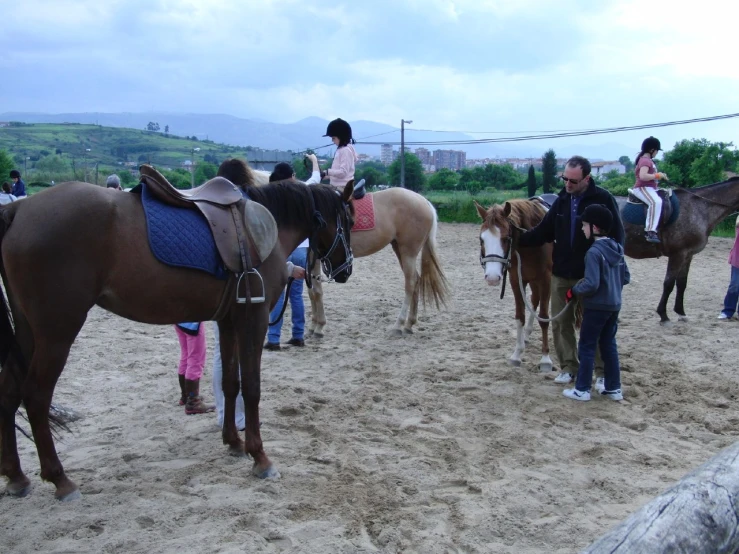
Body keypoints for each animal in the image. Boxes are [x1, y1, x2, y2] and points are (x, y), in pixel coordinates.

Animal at [304, 185, 448, 334]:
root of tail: (425, 202)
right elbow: (311, 291)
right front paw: (313, 324)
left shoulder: (315, 256)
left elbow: (317, 291)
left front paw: (319, 326)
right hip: (399, 250)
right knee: (416, 280)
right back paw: (409, 324)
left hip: (408, 253)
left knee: (411, 283)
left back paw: (399, 323)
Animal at [476, 198, 552, 370]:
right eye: (481, 239)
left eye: (506, 239)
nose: (492, 277)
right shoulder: (517, 280)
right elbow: (520, 317)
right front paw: (517, 354)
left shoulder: (545, 279)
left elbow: (544, 318)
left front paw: (545, 358)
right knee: (535, 300)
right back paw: (527, 334)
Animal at [620, 176, 739, 324]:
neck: (700, 208)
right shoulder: (678, 254)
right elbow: (669, 283)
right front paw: (663, 315)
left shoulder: (688, 254)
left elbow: (682, 283)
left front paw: (681, 313)